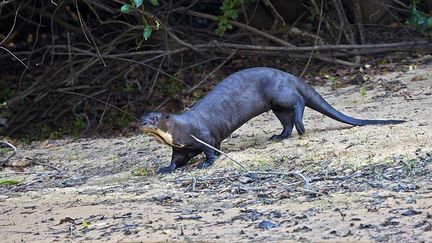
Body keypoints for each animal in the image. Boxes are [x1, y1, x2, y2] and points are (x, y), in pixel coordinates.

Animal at [141, 67, 404, 174]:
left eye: (154, 117)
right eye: (141, 117)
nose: (143, 123)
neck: (180, 129)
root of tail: (288, 75)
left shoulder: (203, 135)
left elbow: (212, 150)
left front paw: (206, 163)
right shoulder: (180, 147)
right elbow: (176, 160)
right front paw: (166, 168)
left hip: (280, 93)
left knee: (298, 101)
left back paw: (301, 127)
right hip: (276, 105)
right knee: (286, 120)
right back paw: (279, 136)